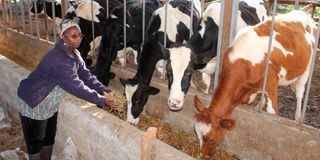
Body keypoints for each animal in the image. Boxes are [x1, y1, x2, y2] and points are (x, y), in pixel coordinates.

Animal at [194, 10, 316, 158]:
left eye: (210, 139)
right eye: (197, 133)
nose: (203, 156)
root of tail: (303, 13)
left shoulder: (270, 82)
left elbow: (272, 112)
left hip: (307, 68)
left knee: (299, 93)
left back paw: (298, 116)